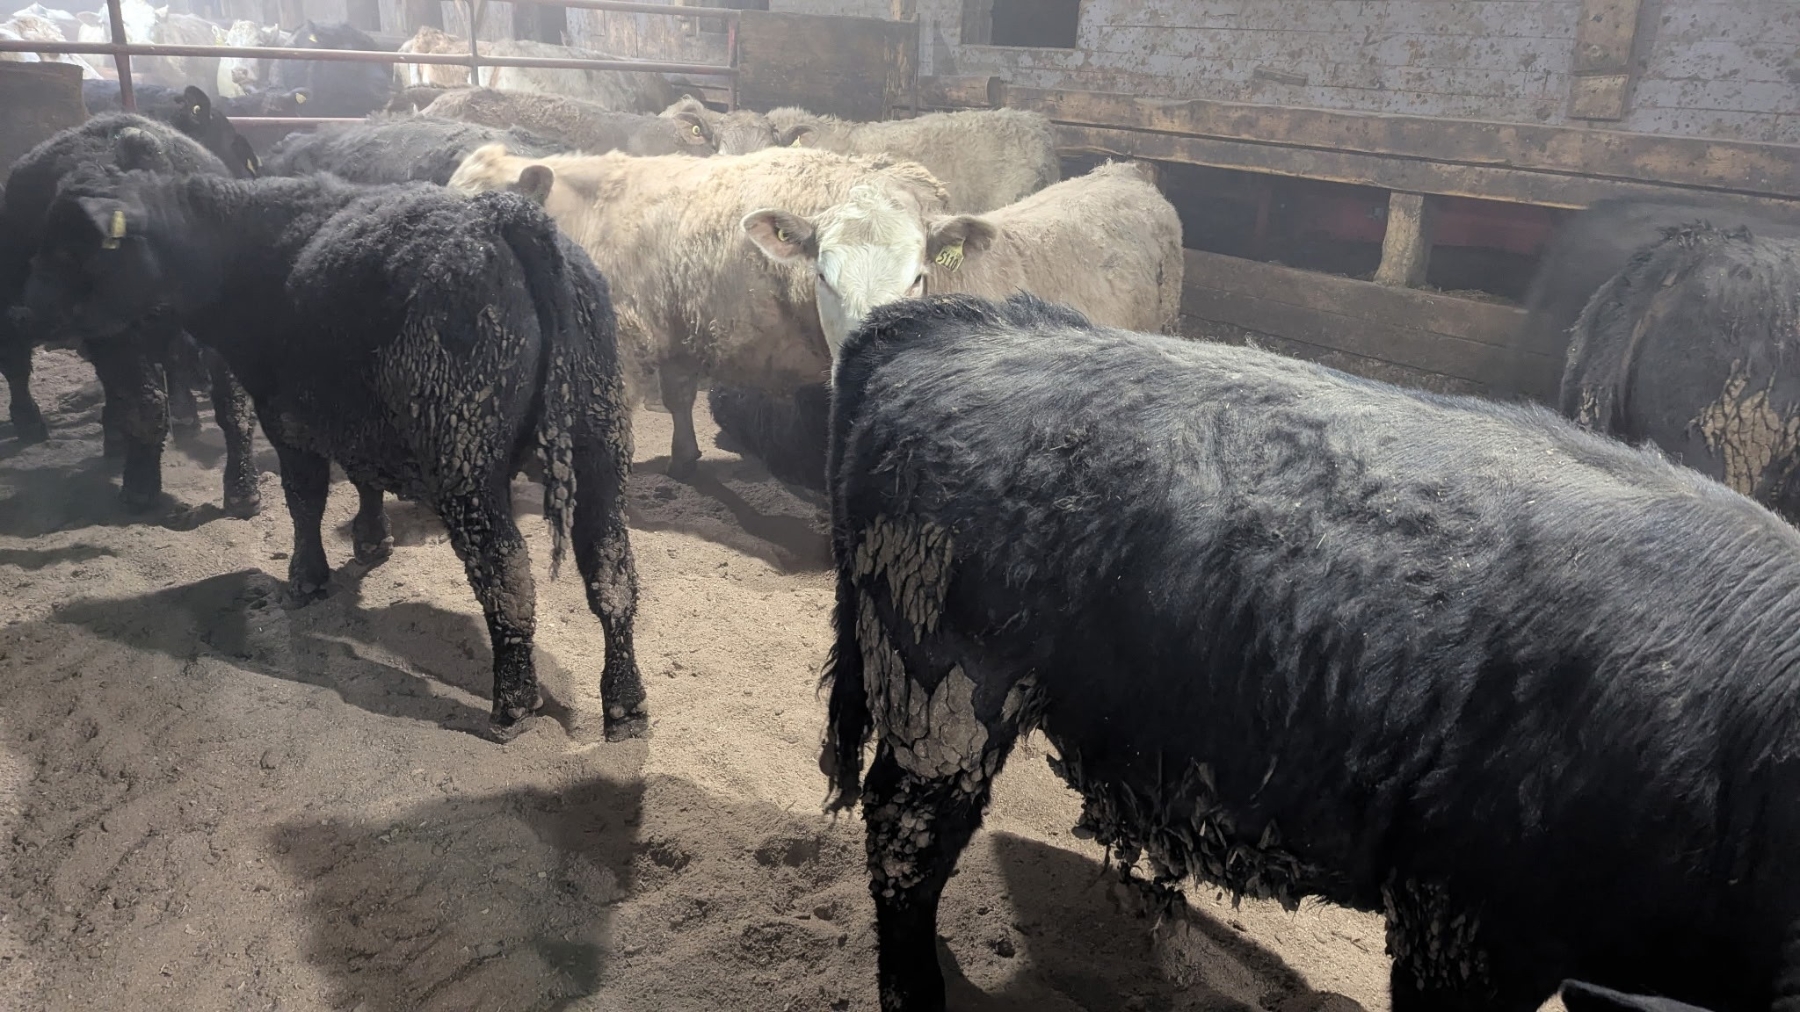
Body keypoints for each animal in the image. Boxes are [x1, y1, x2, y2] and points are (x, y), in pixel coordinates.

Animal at [24, 166, 646, 743]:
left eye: (70, 248)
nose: (24, 316)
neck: (251, 249)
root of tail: (506, 215)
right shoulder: (358, 420)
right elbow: (363, 480)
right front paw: (371, 540)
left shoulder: (288, 419)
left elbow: (305, 500)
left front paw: (307, 577)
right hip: (600, 444)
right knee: (612, 575)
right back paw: (625, 705)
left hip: (466, 460)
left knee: (507, 576)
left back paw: (512, 704)